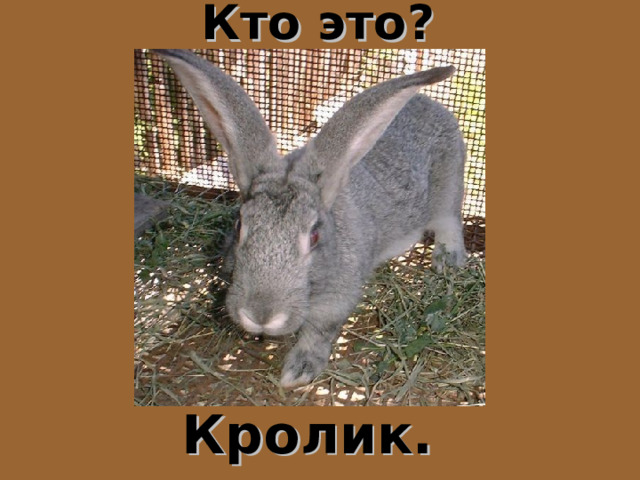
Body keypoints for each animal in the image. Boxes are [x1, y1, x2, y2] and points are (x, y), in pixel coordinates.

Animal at [152, 49, 467, 388]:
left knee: (449, 221)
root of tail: (431, 104)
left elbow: (318, 333)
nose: (260, 316)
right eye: (239, 225)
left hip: (449, 187)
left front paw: (297, 372)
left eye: (314, 236)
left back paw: (448, 260)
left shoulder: (336, 299)